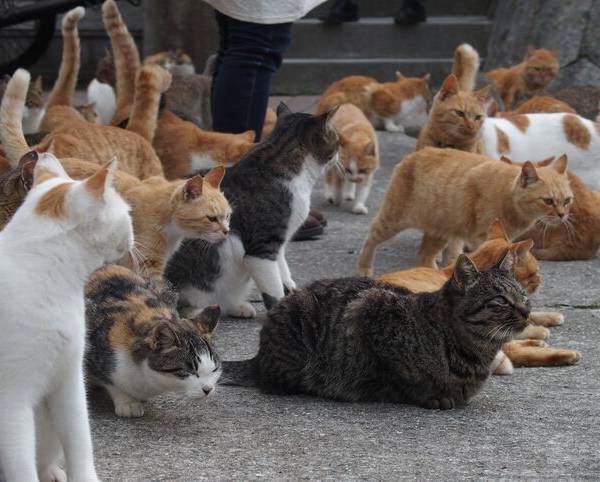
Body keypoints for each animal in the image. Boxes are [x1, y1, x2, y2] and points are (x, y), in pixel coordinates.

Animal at [0, 149, 133, 482]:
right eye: (127, 212)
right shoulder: (12, 398)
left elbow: (79, 440)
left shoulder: (69, 379)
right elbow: (20, 462)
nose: (134, 232)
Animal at [165, 103, 340, 317]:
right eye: (337, 139)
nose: (339, 154)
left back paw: (238, 307)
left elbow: (282, 270)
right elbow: (273, 288)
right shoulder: (261, 247)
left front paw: (290, 291)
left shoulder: (279, 243)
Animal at [222, 253, 530, 409]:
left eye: (524, 295)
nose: (527, 311)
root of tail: (259, 357)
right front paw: (432, 395)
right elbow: (404, 378)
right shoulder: (370, 310)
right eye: (501, 300)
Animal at [356, 147, 573, 275]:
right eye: (548, 201)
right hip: (393, 220)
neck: (507, 196)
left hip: (440, 232)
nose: (562, 215)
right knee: (371, 237)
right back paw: (364, 268)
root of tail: (415, 153)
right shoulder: (483, 238)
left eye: (567, 200)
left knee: (424, 256)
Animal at [378, 219, 580, 375]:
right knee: (512, 349)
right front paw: (539, 328)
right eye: (536, 271)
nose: (541, 279)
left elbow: (530, 315)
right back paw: (562, 352)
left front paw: (549, 317)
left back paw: (537, 342)